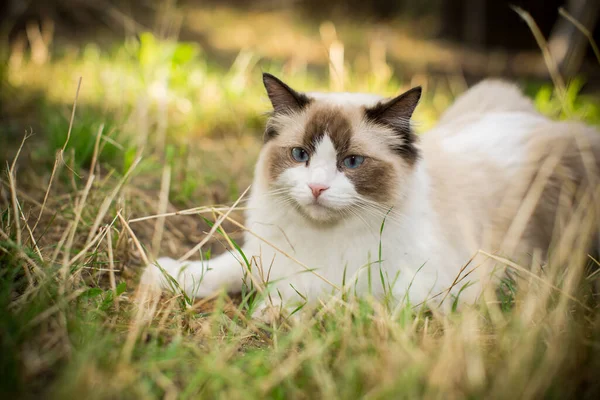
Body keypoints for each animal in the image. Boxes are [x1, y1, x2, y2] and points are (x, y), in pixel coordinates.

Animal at [142, 73, 600, 320]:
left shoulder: (417, 290)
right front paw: (165, 274)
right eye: (300, 155)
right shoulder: (270, 255)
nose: (317, 187)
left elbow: (325, 297)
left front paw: (272, 310)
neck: (325, 239)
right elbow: (224, 268)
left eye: (352, 162)